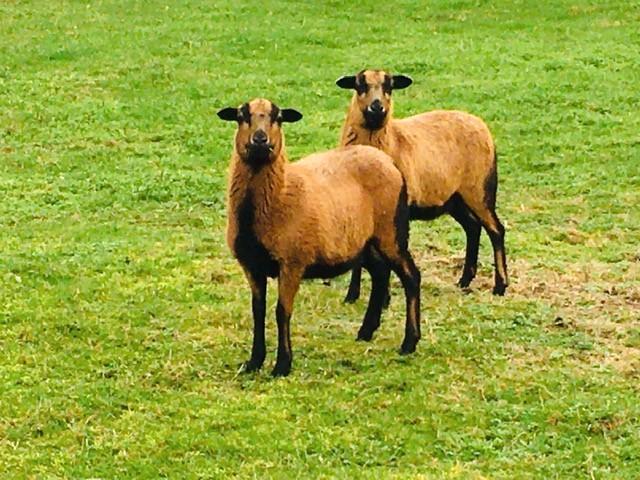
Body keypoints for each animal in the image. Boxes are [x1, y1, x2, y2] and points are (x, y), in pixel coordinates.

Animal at [217, 98, 422, 377]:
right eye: (241, 116)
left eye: (278, 117)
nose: (260, 140)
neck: (280, 193)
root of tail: (389, 162)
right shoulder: (251, 265)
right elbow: (258, 311)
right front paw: (254, 361)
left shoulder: (292, 262)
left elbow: (282, 311)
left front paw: (282, 365)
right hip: (364, 243)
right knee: (381, 274)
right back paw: (366, 331)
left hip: (391, 233)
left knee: (411, 276)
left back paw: (409, 342)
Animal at [335, 69, 508, 300]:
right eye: (359, 84)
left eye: (389, 86)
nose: (377, 106)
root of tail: (481, 124)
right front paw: (352, 295)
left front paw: (384, 297)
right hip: (455, 198)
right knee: (473, 227)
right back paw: (465, 280)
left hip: (480, 189)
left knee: (496, 230)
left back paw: (500, 286)